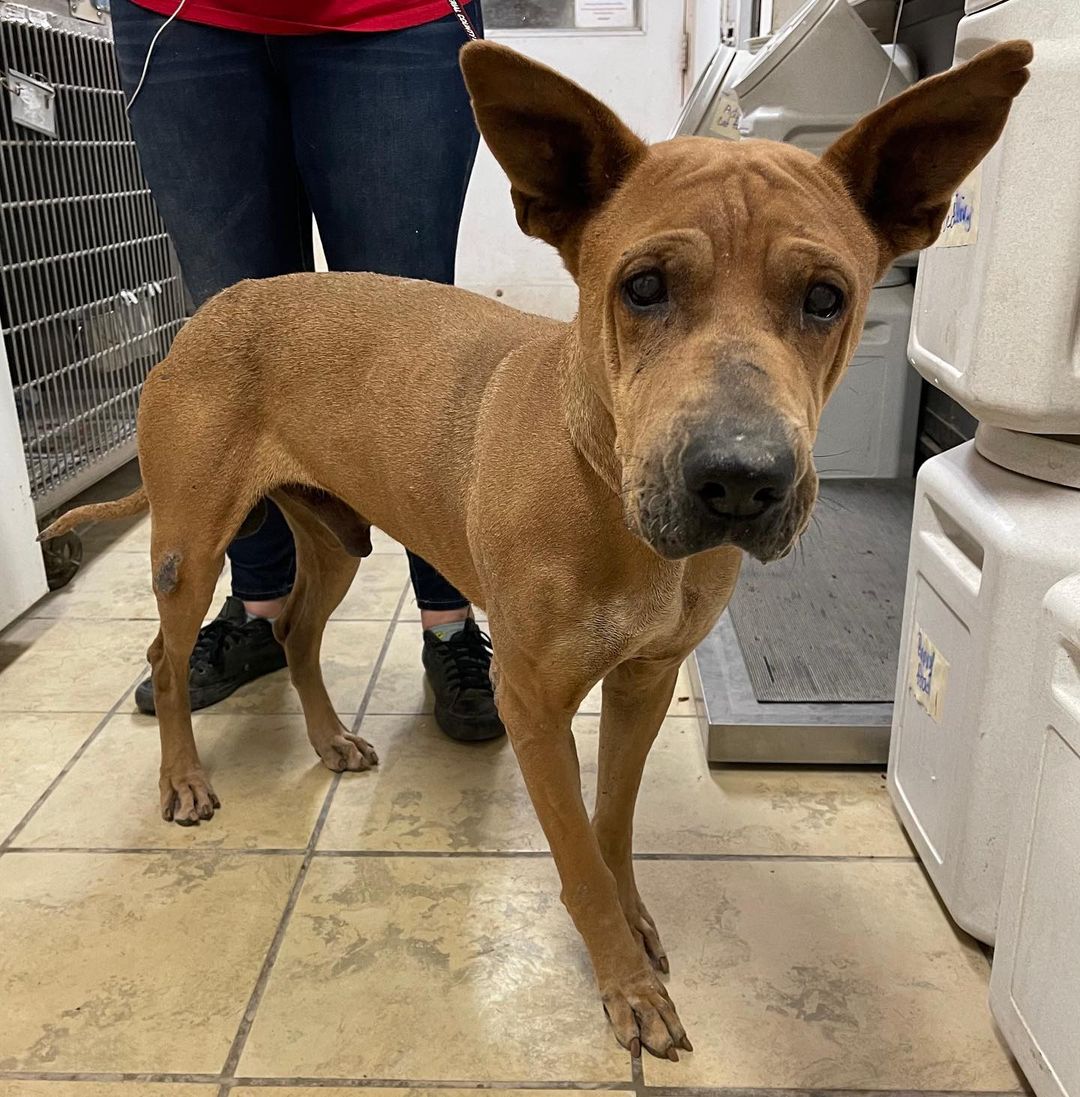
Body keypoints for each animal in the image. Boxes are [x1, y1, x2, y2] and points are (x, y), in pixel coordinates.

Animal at [46, 38, 1030, 1057]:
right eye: (643, 286)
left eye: (827, 298)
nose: (739, 480)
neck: (606, 492)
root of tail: (207, 313)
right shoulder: (532, 703)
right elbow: (580, 859)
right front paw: (626, 984)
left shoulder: (643, 685)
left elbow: (614, 823)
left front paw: (633, 920)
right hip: (192, 546)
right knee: (165, 657)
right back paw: (183, 777)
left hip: (336, 540)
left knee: (296, 635)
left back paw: (326, 738)